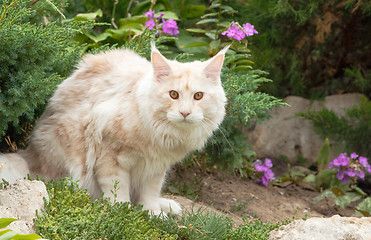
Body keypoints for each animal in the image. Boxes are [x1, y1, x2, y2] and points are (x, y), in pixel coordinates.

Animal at [0, 43, 228, 216]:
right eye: (173, 94)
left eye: (198, 96)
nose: (185, 113)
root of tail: (30, 154)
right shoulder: (110, 157)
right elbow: (118, 191)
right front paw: (123, 213)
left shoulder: (156, 168)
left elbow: (149, 194)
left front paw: (153, 213)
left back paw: (168, 206)